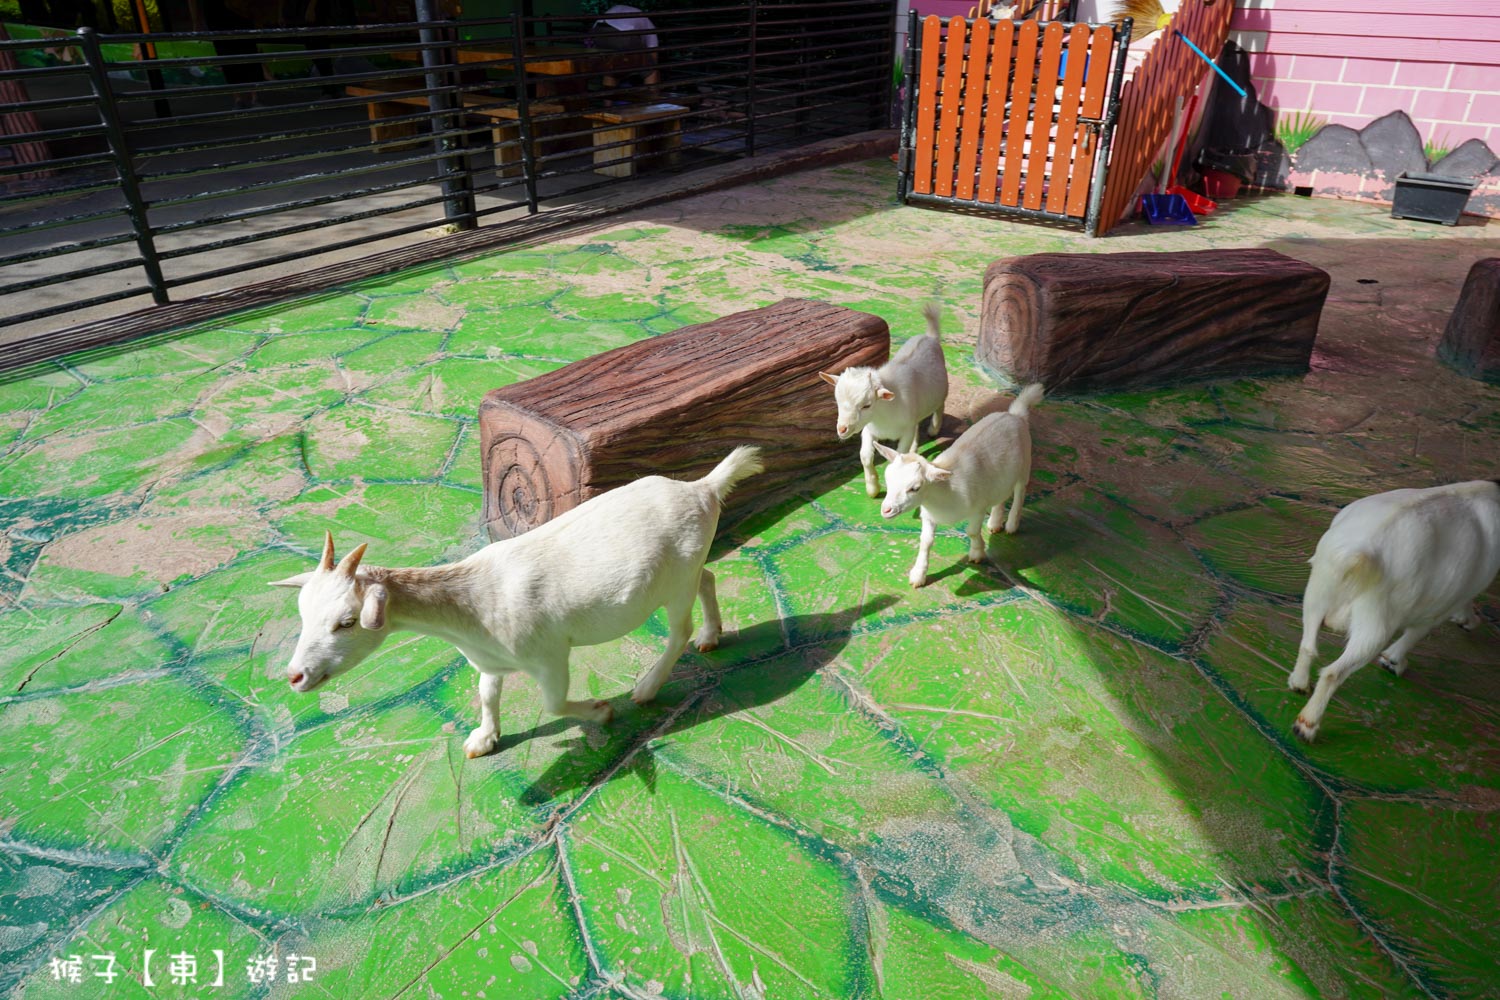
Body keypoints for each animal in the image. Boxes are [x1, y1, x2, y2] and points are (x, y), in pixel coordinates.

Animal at [268, 446, 762, 758]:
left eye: (347, 622)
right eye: (302, 614)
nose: (295, 676)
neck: (471, 603)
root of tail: (702, 488)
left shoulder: (549, 655)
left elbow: (554, 704)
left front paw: (601, 711)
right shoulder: (489, 659)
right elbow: (486, 695)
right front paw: (483, 740)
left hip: (676, 582)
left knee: (678, 628)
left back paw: (648, 686)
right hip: (686, 570)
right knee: (709, 578)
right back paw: (712, 635)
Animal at [822, 299, 948, 497]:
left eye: (866, 405)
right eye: (837, 402)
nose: (842, 429)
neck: (885, 413)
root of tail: (930, 337)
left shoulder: (904, 431)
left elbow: (899, 455)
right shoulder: (868, 429)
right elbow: (865, 456)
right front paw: (872, 488)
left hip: (942, 391)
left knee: (940, 406)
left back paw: (934, 429)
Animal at [876, 380, 1044, 587]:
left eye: (915, 488)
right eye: (888, 479)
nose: (886, 510)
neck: (944, 492)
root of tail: (1014, 414)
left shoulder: (977, 509)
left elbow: (971, 531)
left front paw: (977, 553)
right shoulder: (929, 516)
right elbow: (925, 541)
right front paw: (918, 575)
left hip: (1024, 465)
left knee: (1020, 492)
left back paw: (1011, 524)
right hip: (1002, 476)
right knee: (1001, 495)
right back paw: (995, 522)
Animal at [1290, 479, 1500, 746]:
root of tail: (1359, 551)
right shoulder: (1441, 603)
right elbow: (1418, 632)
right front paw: (1394, 661)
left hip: (1317, 592)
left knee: (1308, 645)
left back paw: (1298, 683)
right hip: (1375, 621)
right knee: (1333, 673)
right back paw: (1306, 725)